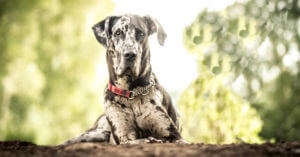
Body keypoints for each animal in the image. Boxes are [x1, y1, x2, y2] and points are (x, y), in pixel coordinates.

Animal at [62, 14, 186, 145]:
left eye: (141, 33)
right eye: (118, 33)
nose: (130, 54)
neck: (130, 93)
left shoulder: (175, 136)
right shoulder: (124, 136)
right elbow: (133, 141)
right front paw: (149, 139)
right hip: (97, 132)